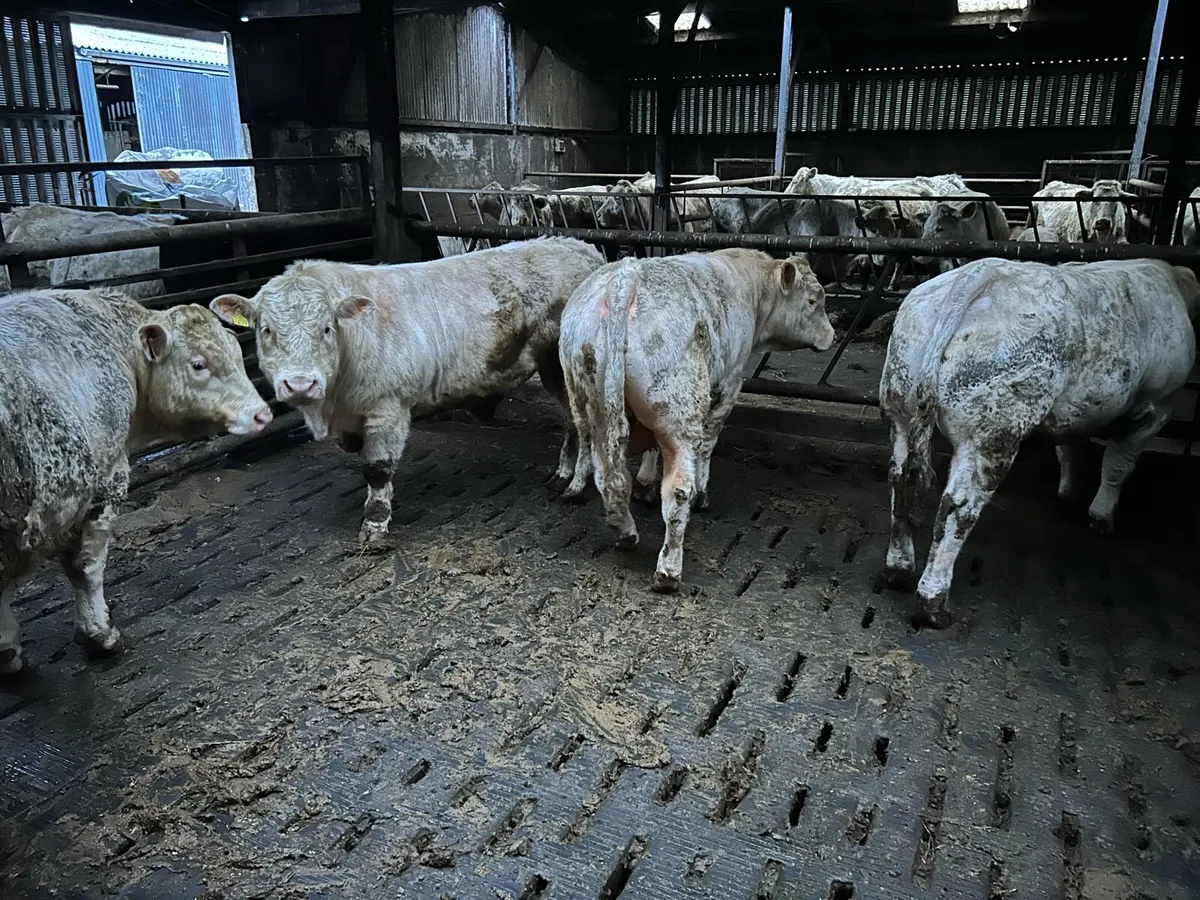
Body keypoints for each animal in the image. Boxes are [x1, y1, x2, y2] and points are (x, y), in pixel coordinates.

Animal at [0, 289, 271, 673]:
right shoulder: (104, 482)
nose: (262, 414)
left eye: (237, 351)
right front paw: (100, 634)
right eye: (198, 364)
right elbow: (85, 566)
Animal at [210, 237, 606, 545]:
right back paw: (562, 475)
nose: (300, 383)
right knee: (570, 422)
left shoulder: (388, 408)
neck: (333, 407)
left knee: (583, 424)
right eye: (266, 330)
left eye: (326, 328)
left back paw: (575, 486)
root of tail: (576, 245)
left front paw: (374, 526)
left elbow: (377, 469)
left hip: (564, 367)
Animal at [559, 250, 834, 592]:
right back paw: (668, 570)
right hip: (679, 406)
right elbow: (709, 440)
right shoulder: (730, 382)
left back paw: (626, 533)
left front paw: (645, 484)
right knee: (678, 489)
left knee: (609, 477)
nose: (832, 335)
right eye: (813, 300)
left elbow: (650, 451)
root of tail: (625, 278)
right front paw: (702, 494)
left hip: (591, 403)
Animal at [880, 258, 1199, 629]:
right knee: (957, 506)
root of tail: (979, 273)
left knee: (900, 480)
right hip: (992, 431)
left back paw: (899, 569)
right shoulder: (1154, 407)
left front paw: (1068, 492)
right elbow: (1118, 465)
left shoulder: (1077, 410)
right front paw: (1101, 516)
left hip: (901, 406)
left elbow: (1070, 447)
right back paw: (933, 603)